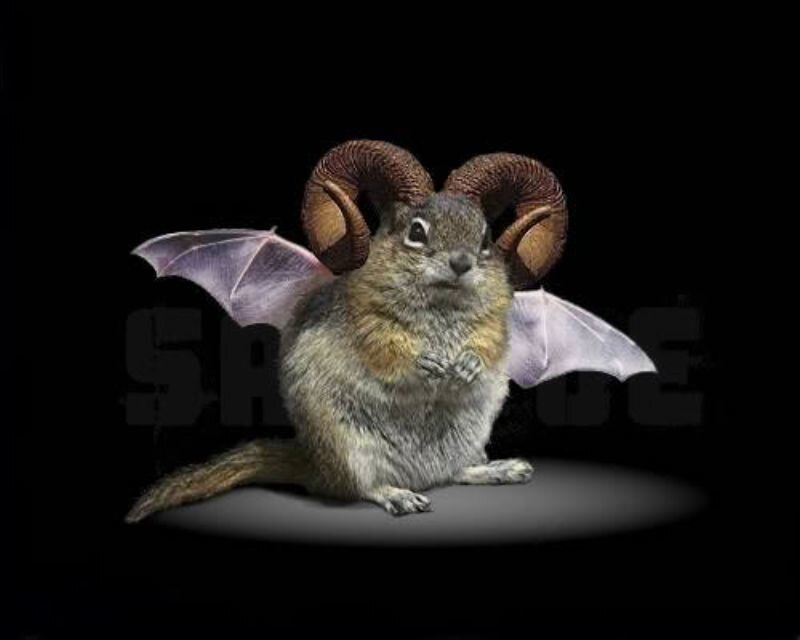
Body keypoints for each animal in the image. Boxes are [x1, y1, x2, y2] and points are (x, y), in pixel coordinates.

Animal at [126, 141, 567, 520]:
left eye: (486, 237)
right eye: (416, 231)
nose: (461, 263)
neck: (442, 305)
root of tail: (315, 466)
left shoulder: (495, 324)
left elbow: (489, 343)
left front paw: (468, 365)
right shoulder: (364, 320)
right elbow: (384, 348)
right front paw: (424, 363)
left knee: (452, 473)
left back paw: (501, 469)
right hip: (349, 449)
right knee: (362, 488)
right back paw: (400, 495)